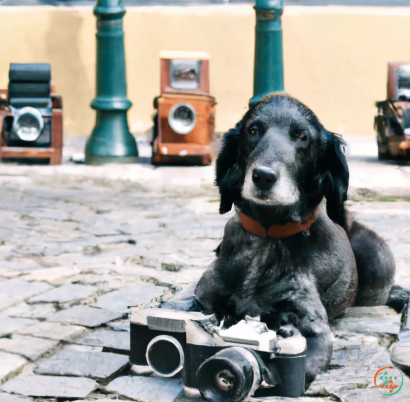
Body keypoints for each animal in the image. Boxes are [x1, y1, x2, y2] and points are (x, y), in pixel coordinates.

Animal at [195, 94, 398, 386]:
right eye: (253, 130)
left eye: (302, 136)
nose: (264, 176)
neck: (268, 237)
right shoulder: (201, 299)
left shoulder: (315, 329)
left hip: (376, 259)